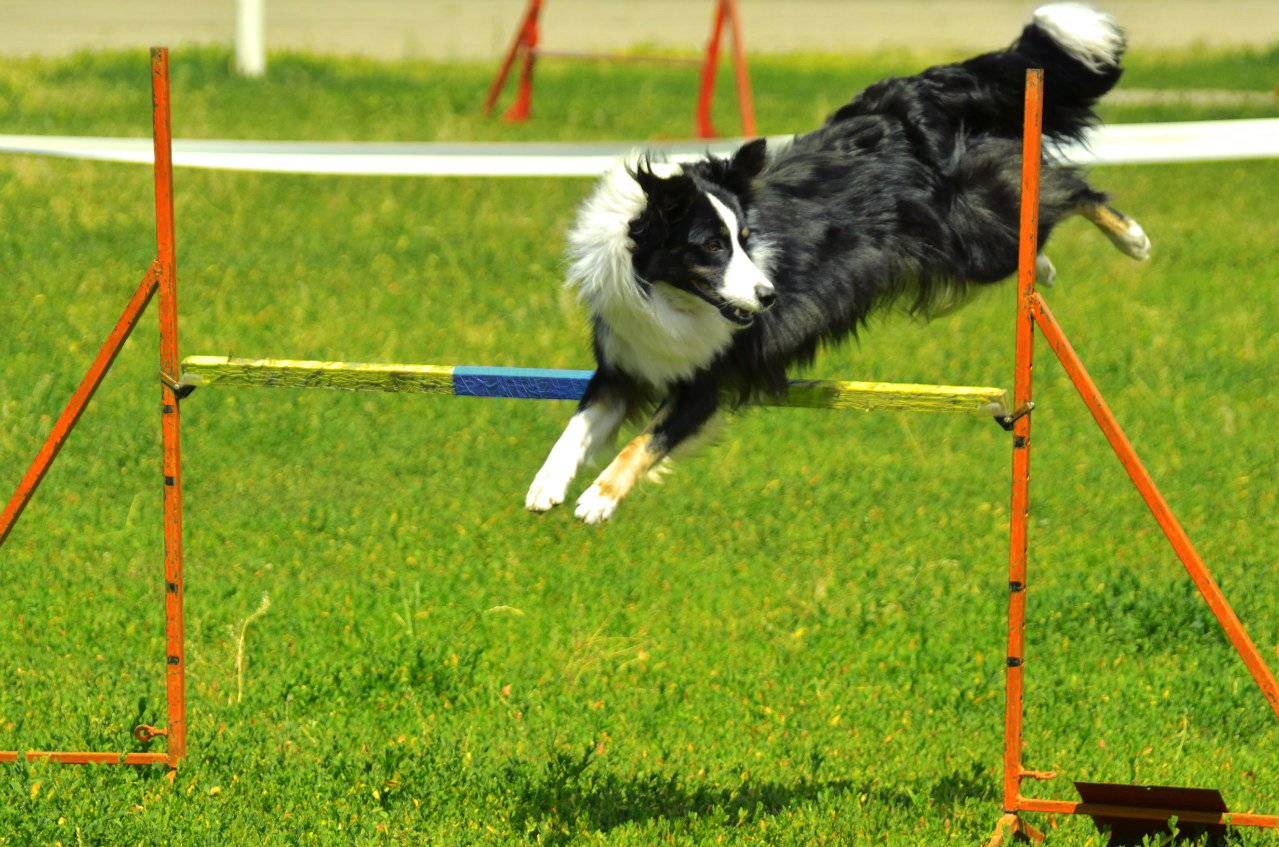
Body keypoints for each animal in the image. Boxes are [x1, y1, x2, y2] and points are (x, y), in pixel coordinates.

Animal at [524, 1, 1145, 524]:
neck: (665, 295)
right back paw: (1044, 266)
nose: (770, 296)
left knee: (1062, 190)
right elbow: (577, 424)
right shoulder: (625, 362)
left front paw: (598, 499)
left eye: (745, 238)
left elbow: (642, 440)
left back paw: (1132, 239)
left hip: (973, 231)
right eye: (711, 246)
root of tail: (903, 98)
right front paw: (545, 486)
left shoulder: (708, 383)